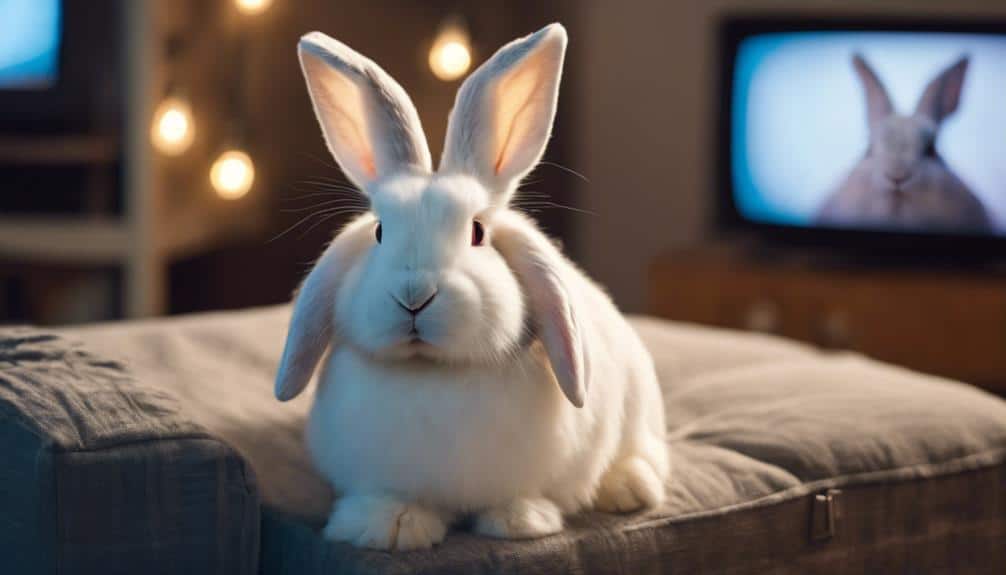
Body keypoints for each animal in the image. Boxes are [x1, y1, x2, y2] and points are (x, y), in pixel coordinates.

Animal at [274, 23, 669, 551]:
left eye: (478, 232)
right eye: (379, 232)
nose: (414, 296)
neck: (432, 372)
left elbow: (520, 497)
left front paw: (519, 523)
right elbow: (388, 497)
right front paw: (387, 528)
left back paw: (627, 488)